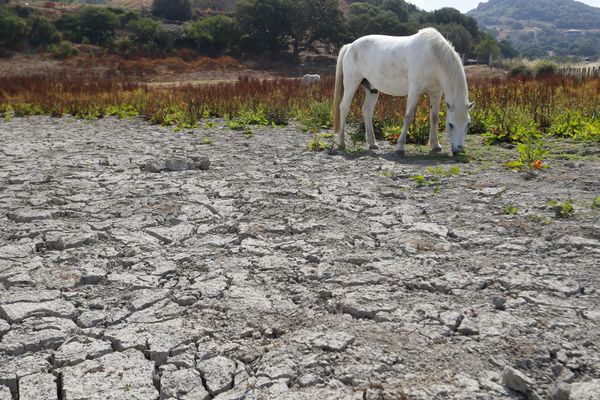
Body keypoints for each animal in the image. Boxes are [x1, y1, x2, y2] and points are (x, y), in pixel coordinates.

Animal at [332, 27, 474, 155]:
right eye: (451, 124)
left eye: (467, 124)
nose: (458, 151)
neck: (433, 56)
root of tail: (350, 46)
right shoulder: (414, 90)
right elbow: (408, 117)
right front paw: (400, 147)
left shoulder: (436, 92)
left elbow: (434, 118)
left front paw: (436, 146)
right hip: (351, 82)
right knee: (344, 107)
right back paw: (342, 143)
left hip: (372, 89)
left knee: (367, 110)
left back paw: (372, 143)